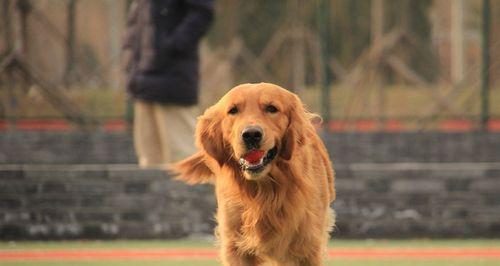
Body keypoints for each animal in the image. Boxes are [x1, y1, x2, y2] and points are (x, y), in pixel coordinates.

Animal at [173, 82, 336, 264]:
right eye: (233, 110)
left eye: (272, 108)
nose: (251, 135)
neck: (264, 192)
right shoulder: (235, 246)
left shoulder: (308, 247)